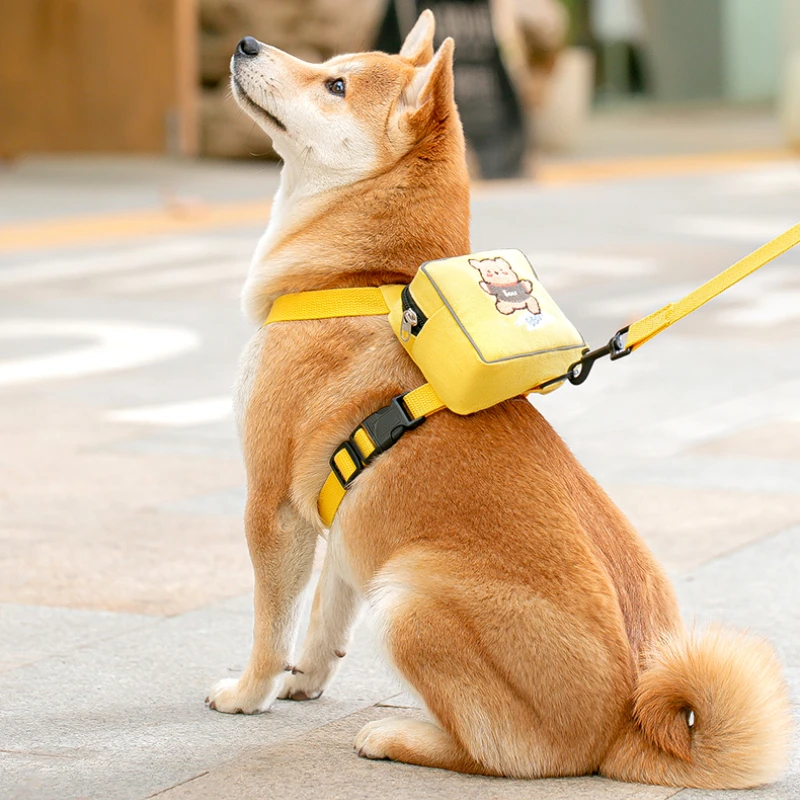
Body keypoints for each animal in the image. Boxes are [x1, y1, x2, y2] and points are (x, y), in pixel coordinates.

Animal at [203, 10, 792, 788]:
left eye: (335, 84)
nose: (244, 43)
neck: (361, 277)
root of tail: (627, 724)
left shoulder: (273, 509)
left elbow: (271, 628)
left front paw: (250, 693)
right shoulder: (349, 522)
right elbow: (326, 618)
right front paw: (306, 679)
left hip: (409, 599)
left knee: (505, 756)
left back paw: (401, 736)